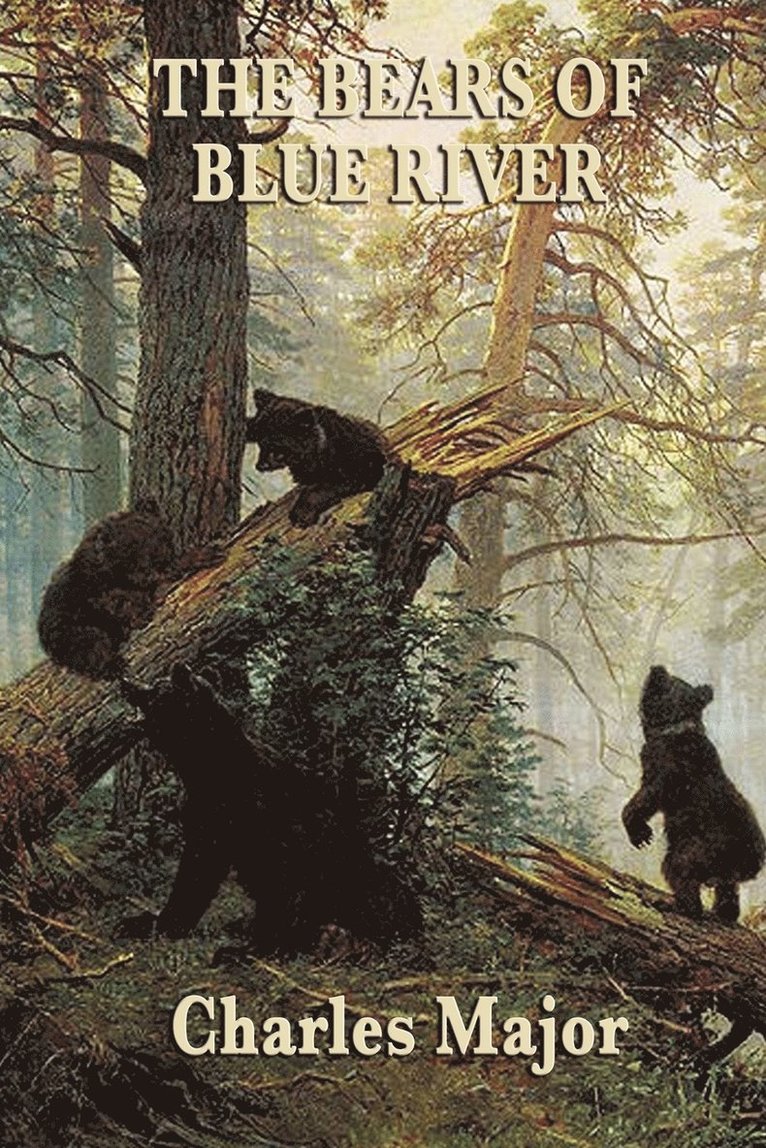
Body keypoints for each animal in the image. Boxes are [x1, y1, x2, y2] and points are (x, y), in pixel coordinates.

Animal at [38, 503, 221, 680]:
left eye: (164, 537)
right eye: (135, 545)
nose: (163, 557)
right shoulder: (94, 590)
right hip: (69, 633)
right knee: (91, 641)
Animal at [245, 388, 396, 526]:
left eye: (277, 448)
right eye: (260, 444)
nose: (260, 466)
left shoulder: (363, 470)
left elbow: (320, 489)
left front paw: (301, 515)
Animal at [622, 665, 765, 923]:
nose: (657, 670)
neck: (675, 726)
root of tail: (753, 860)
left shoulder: (664, 770)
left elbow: (647, 796)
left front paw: (639, 834)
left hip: (699, 849)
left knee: (679, 870)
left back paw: (672, 905)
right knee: (728, 891)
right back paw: (723, 914)